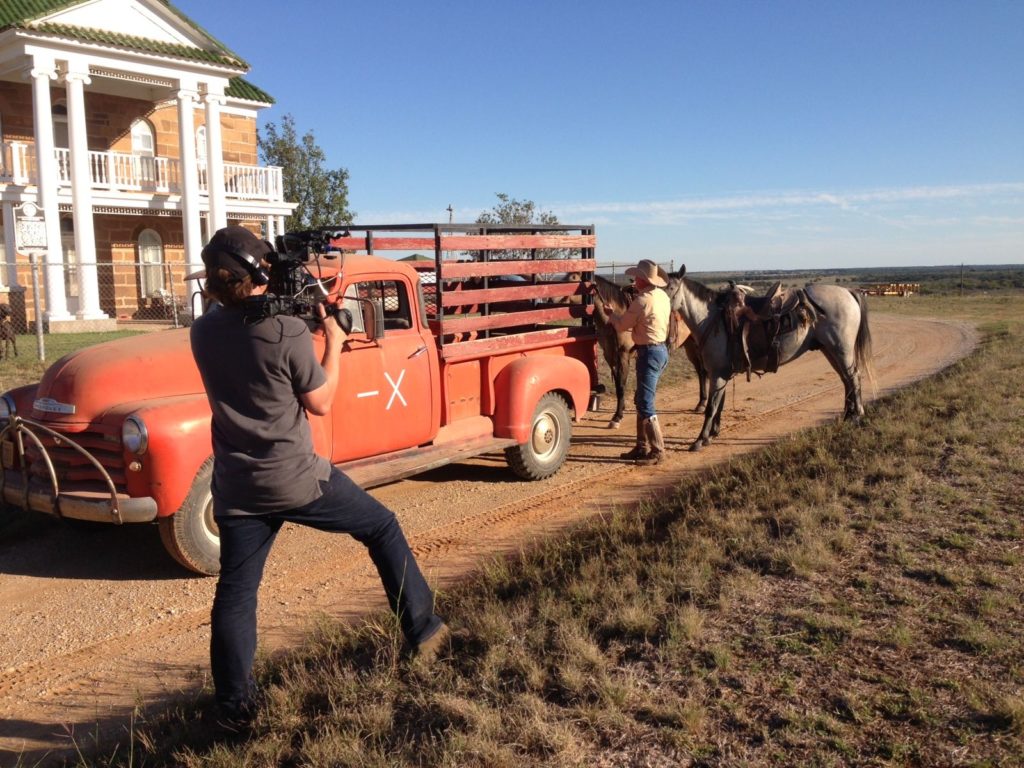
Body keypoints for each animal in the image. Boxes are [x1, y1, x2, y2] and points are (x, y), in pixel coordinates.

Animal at [667, 268, 876, 450]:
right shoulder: (721, 373)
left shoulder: (717, 373)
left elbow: (711, 407)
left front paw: (699, 440)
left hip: (842, 350)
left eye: (670, 288)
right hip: (830, 350)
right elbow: (719, 405)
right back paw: (847, 415)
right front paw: (711, 435)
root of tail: (848, 292)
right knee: (846, 380)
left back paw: (857, 415)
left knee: (854, 377)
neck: (712, 320)